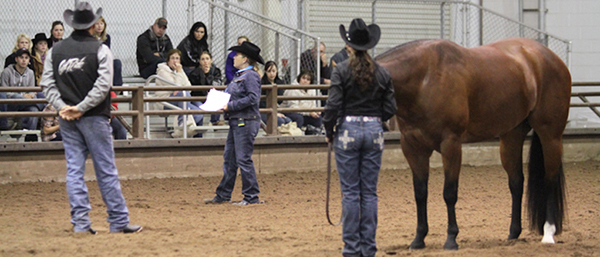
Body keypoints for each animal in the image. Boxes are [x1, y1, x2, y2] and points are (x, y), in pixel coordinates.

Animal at [378, 38, 568, 248]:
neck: (424, 80)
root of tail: (550, 57)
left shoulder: (451, 144)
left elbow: (449, 192)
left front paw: (451, 239)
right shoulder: (412, 147)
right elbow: (420, 193)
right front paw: (418, 239)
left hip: (550, 135)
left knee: (549, 180)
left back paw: (548, 233)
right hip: (511, 137)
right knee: (516, 182)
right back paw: (513, 234)